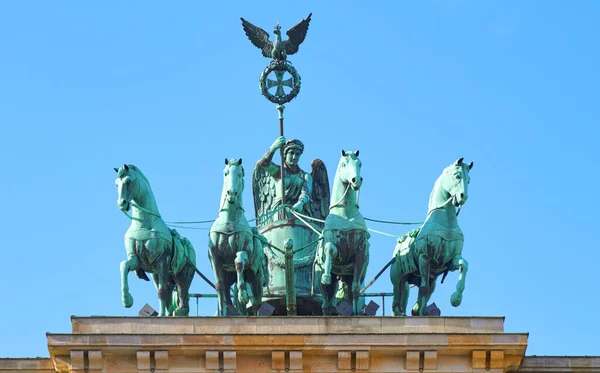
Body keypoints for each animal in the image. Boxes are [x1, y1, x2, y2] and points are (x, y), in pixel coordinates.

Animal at [113, 164, 196, 316]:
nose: (121, 203)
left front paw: (162, 315)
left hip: (183, 272)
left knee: (182, 288)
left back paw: (180, 310)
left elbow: (162, 292)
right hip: (157, 274)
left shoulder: (163, 260)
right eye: (116, 184)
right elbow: (124, 265)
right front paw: (127, 300)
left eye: (128, 181)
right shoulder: (136, 259)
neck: (143, 223)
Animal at [210, 158, 266, 316]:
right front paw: (222, 312)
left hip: (256, 278)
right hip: (230, 278)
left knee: (256, 302)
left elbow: (239, 261)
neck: (230, 220)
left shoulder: (243, 250)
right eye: (226, 173)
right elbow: (219, 286)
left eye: (240, 174)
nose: (231, 193)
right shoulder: (215, 258)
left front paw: (242, 295)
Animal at [314, 150, 370, 316]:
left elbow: (356, 289)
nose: (356, 180)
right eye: (344, 164)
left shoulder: (360, 253)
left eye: (360, 164)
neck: (345, 213)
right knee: (326, 303)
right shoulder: (335, 245)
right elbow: (329, 249)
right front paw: (326, 275)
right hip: (325, 285)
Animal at [390, 157, 474, 314]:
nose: (463, 197)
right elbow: (423, 289)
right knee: (396, 301)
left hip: (431, 278)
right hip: (398, 277)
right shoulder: (424, 257)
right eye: (457, 176)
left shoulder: (450, 260)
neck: (444, 224)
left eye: (469, 180)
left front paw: (456, 298)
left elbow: (464, 265)